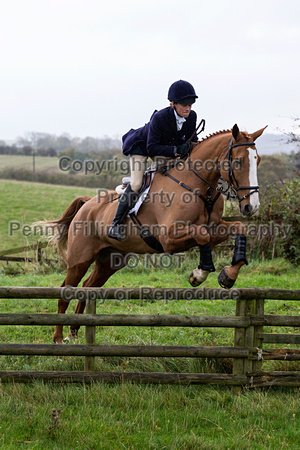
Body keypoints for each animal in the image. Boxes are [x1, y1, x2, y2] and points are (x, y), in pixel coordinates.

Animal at [38, 121, 266, 342]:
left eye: (258, 160)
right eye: (238, 162)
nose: (252, 207)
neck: (198, 185)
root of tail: (87, 204)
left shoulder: (215, 225)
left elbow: (236, 228)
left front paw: (228, 275)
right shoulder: (168, 238)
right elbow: (203, 234)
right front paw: (199, 274)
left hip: (111, 260)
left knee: (88, 286)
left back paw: (74, 330)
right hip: (80, 259)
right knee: (66, 290)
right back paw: (58, 337)